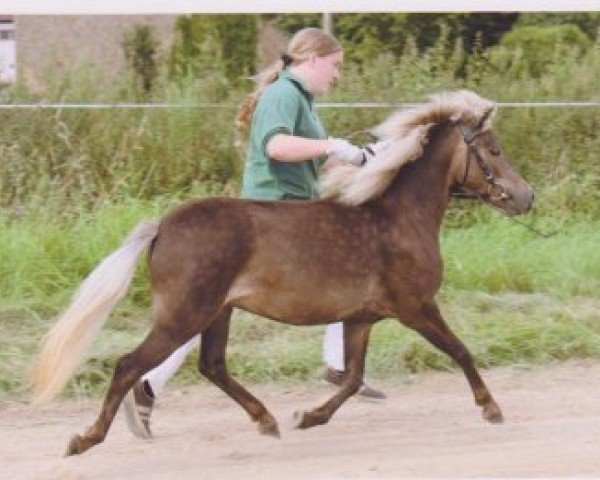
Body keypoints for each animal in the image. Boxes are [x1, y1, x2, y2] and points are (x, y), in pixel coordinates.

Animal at [30, 89, 532, 454]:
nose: (527, 197)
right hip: (186, 314)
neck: (398, 218)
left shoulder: (360, 318)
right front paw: (491, 408)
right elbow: (461, 351)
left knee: (211, 366)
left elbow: (352, 378)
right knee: (130, 365)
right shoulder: (417, 308)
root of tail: (162, 226)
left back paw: (265, 419)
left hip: (216, 313)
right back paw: (87, 438)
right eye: (493, 150)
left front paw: (308, 416)